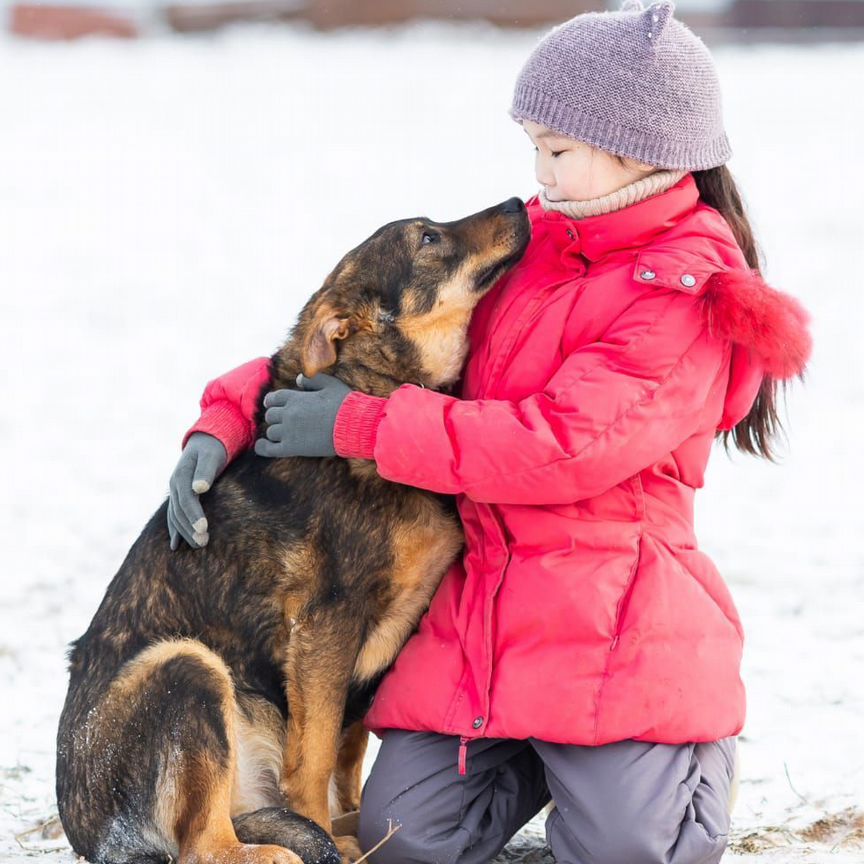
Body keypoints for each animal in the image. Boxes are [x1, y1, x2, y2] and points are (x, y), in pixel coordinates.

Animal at [57, 197, 528, 864]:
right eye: (429, 238)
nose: (517, 202)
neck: (372, 391)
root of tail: (92, 838)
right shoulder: (326, 627)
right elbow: (313, 760)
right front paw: (323, 827)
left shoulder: (373, 651)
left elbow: (347, 753)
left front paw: (348, 819)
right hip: (186, 667)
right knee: (207, 846)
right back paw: (292, 848)